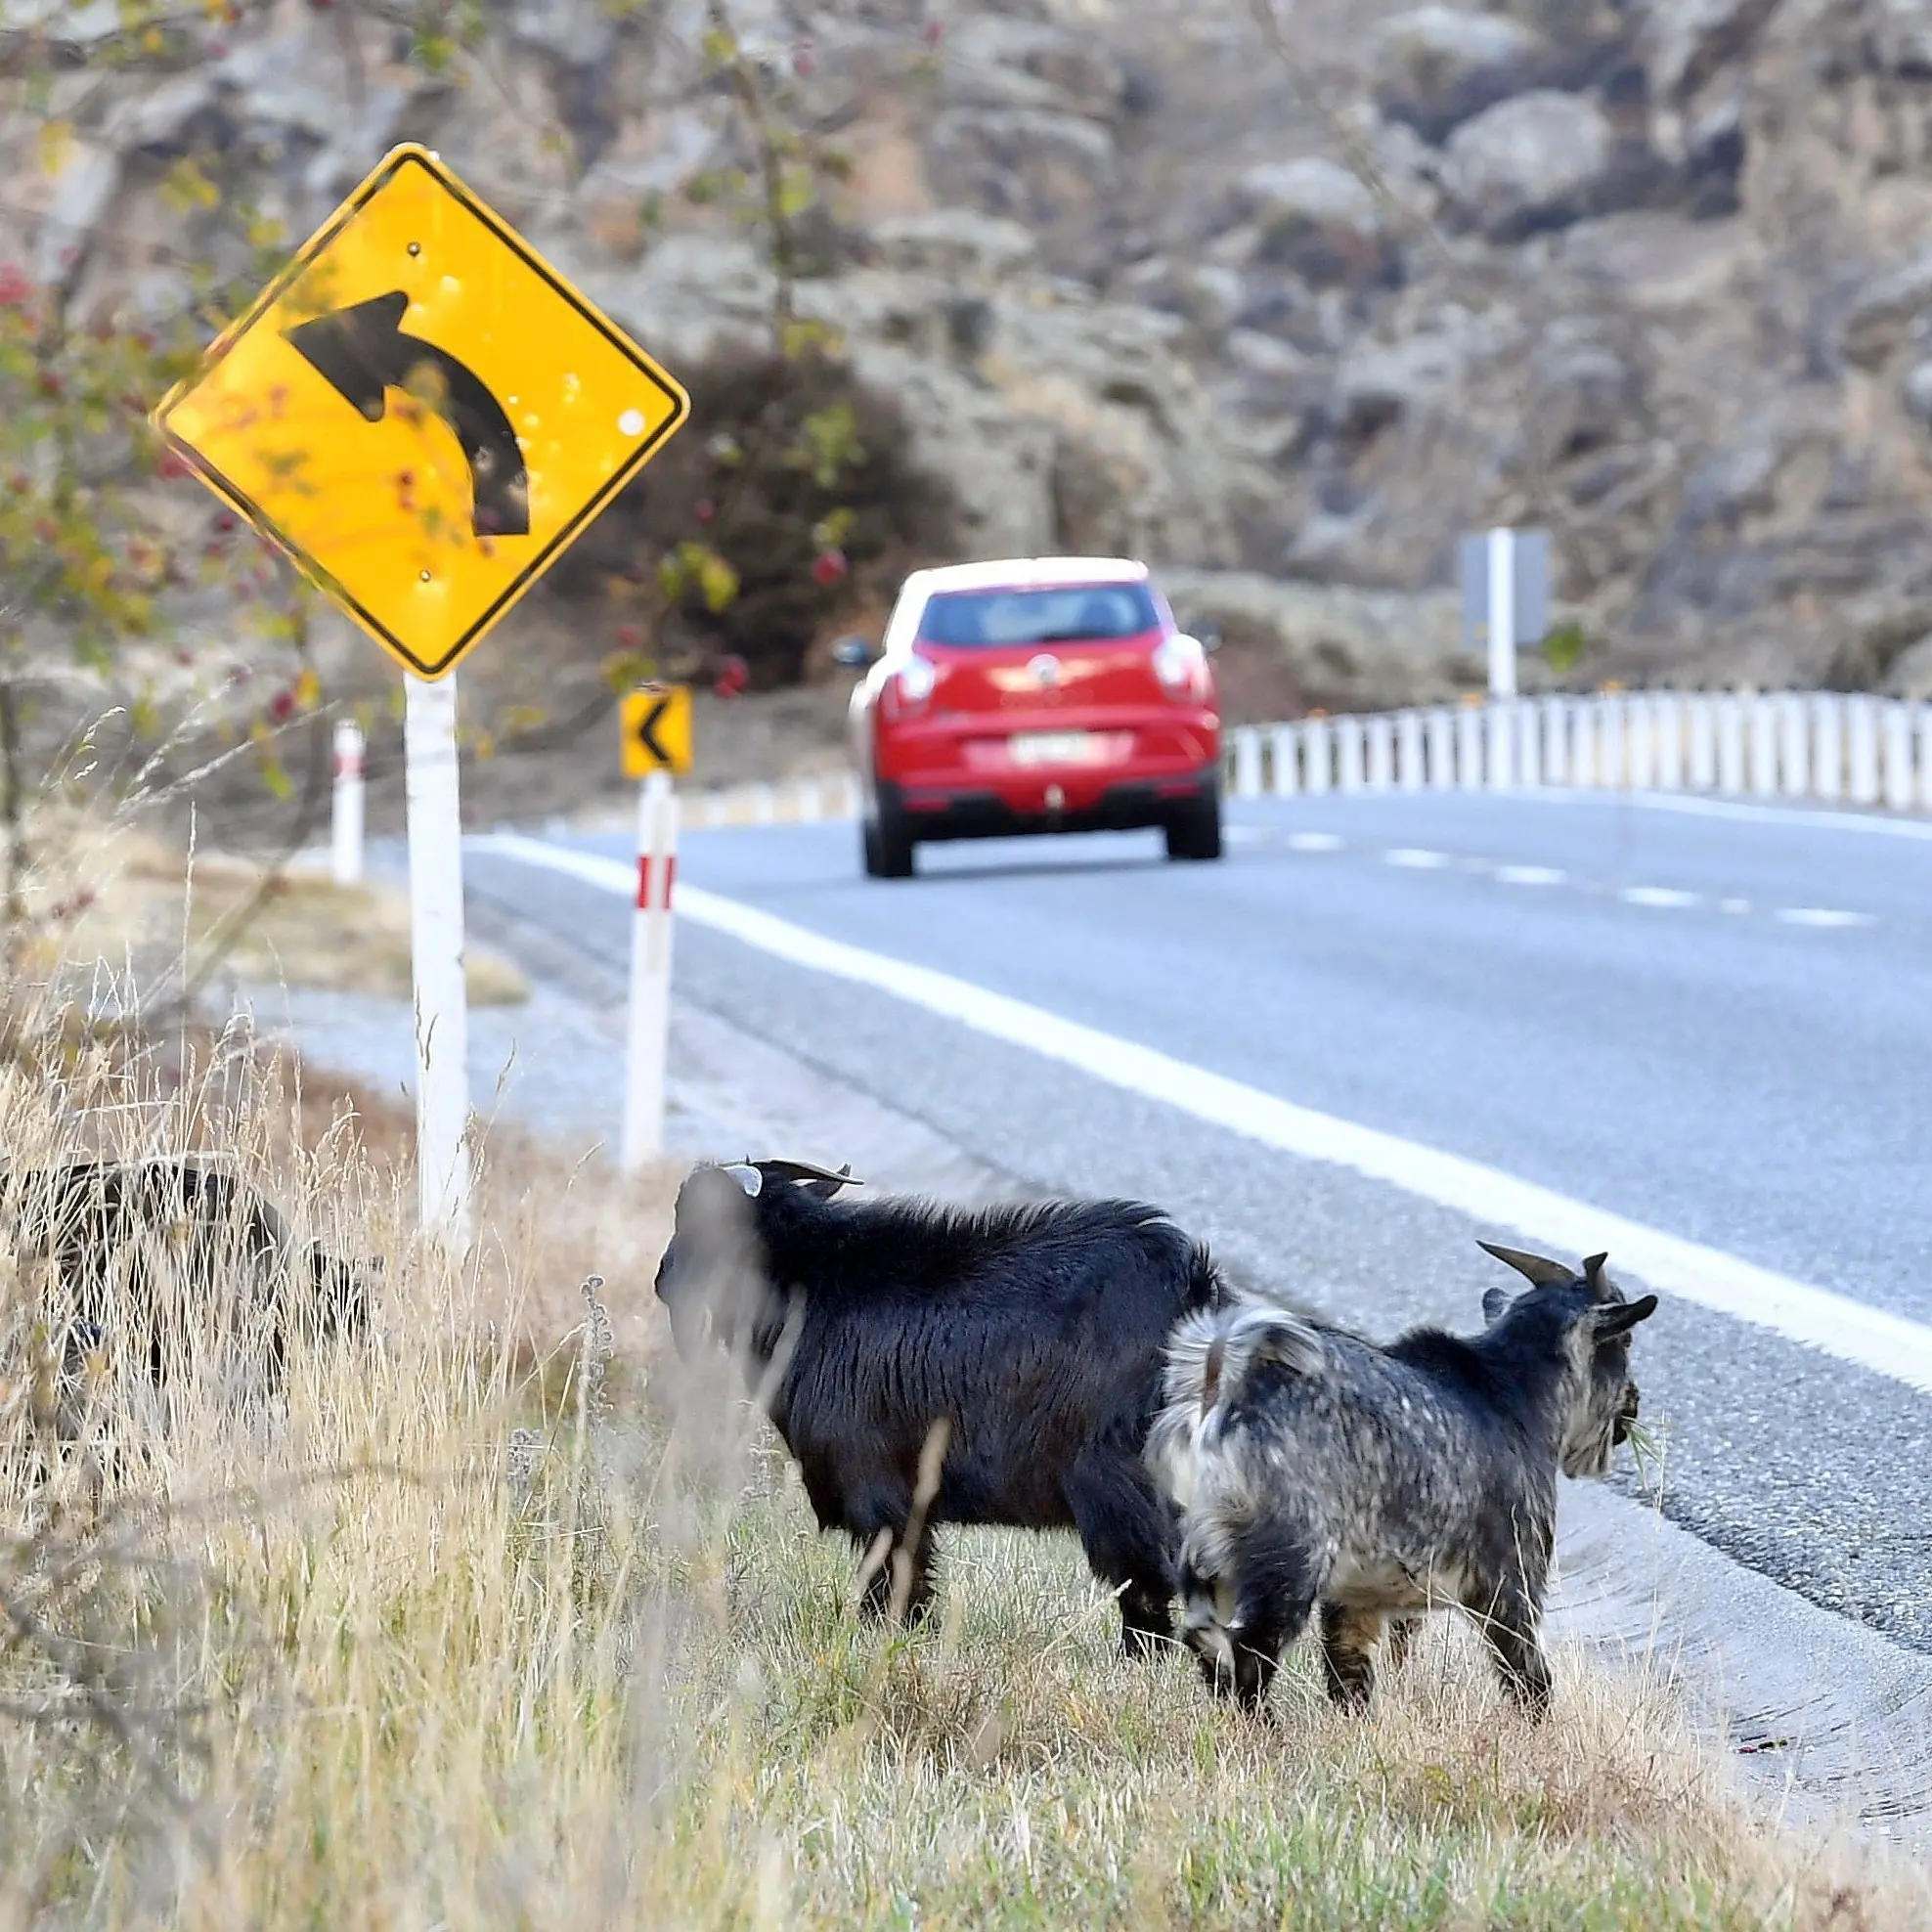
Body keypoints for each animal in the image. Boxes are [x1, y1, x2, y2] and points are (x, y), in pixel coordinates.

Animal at [654, 1157, 1227, 1655]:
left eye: (696, 1217)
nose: (662, 1281)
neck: (811, 1288)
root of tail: (1195, 1292)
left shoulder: (879, 1493)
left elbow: (895, 1580)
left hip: (1117, 1488)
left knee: (1147, 1583)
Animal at [1145, 1241, 1656, 1718]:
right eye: (1627, 1342)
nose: (1634, 1404)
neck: (1512, 1396)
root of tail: (1222, 1383)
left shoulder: (1357, 1600)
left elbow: (1351, 1674)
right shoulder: (1512, 1583)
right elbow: (1530, 1681)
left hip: (1203, 1550)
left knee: (1204, 1637)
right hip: (1288, 1560)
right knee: (1249, 1650)